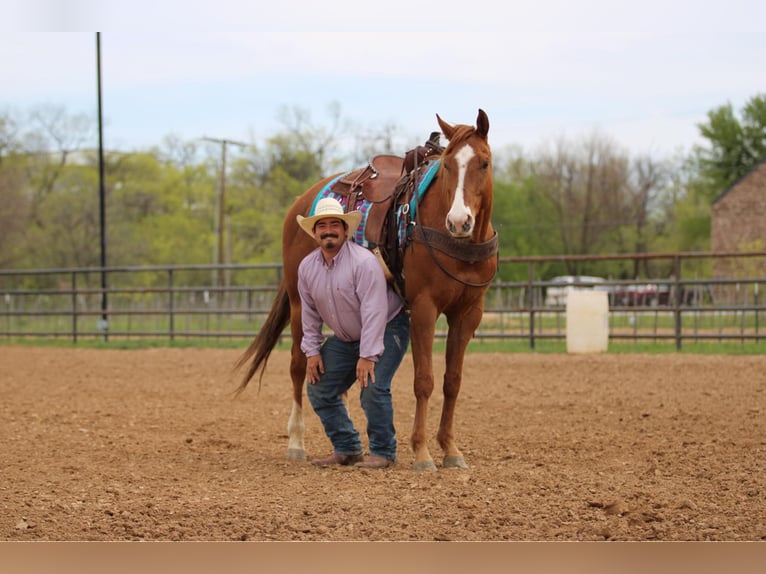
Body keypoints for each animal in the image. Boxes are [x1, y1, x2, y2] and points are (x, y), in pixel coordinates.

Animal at [236, 109, 498, 472]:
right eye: (447, 165)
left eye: (484, 163)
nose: (459, 222)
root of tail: (300, 203)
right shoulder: (424, 307)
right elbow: (424, 381)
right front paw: (422, 453)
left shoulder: (468, 313)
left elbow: (452, 382)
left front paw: (450, 449)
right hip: (299, 303)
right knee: (298, 366)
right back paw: (296, 443)